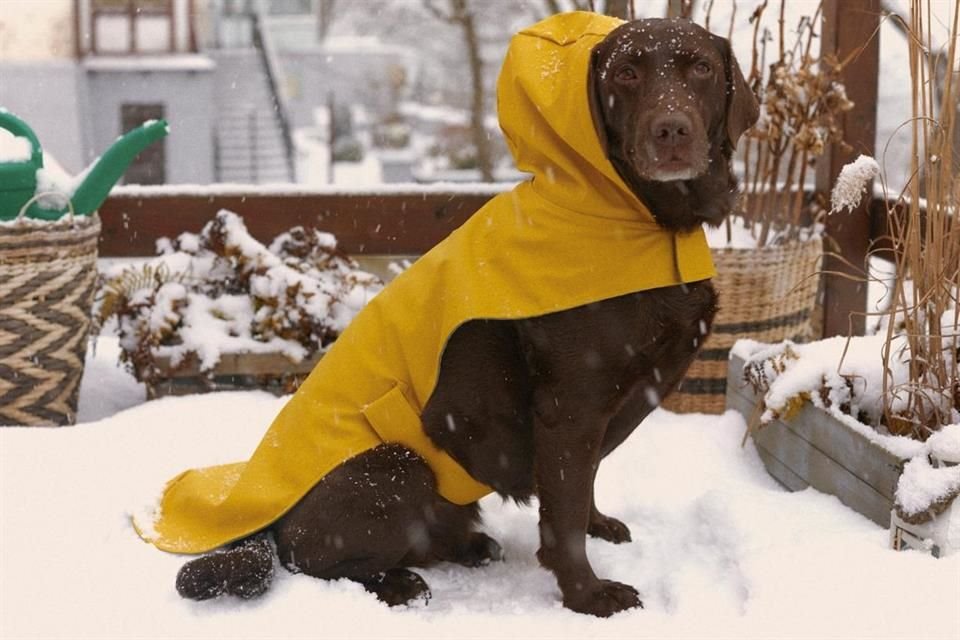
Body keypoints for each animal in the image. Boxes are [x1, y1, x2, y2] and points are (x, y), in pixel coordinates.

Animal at [171, 13, 756, 616]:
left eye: (702, 68)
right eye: (627, 73)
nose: (672, 131)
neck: (635, 223)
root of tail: (268, 524)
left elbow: (587, 480)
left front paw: (599, 527)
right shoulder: (570, 405)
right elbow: (564, 512)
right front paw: (588, 594)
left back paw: (472, 546)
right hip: (399, 466)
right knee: (311, 562)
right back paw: (399, 583)